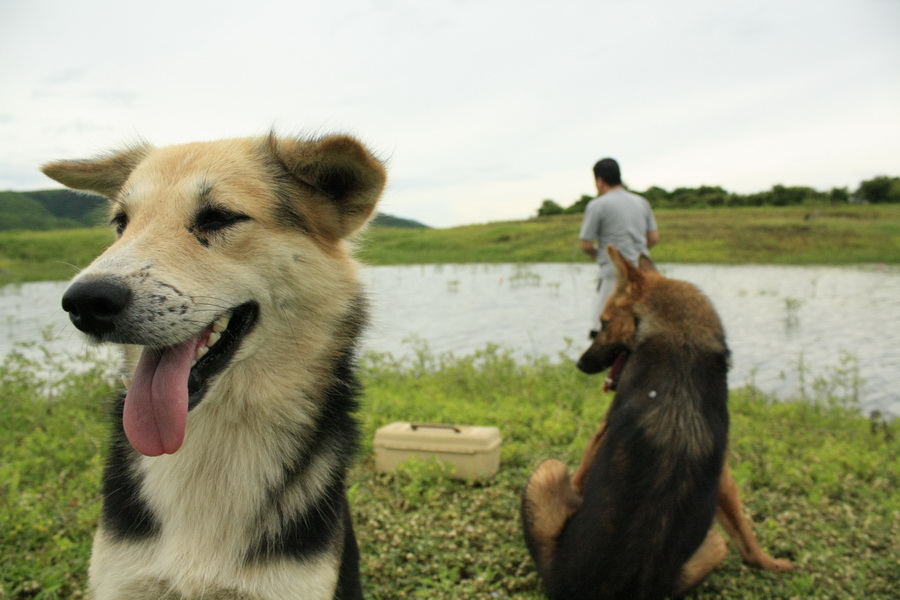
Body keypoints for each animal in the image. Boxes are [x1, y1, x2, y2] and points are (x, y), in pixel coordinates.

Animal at [520, 245, 796, 600]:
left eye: (604, 323)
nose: (580, 364)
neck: (679, 335)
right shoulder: (722, 473)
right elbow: (744, 528)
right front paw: (769, 561)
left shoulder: (598, 437)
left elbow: (580, 479)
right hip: (713, 547)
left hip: (548, 470)